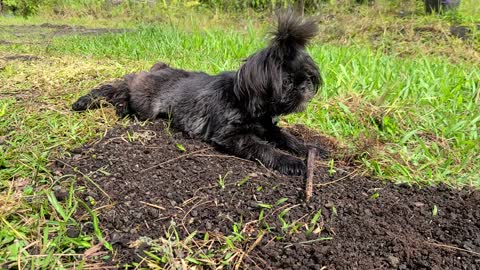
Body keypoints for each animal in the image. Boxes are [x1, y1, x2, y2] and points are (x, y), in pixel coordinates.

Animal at [72, 10, 326, 175]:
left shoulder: (266, 126)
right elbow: (264, 148)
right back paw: (98, 103)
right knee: (119, 86)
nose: (304, 86)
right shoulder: (232, 136)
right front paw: (290, 161)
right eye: (287, 81)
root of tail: (160, 68)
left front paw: (308, 149)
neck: (246, 102)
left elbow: (286, 137)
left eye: (308, 76)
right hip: (144, 102)